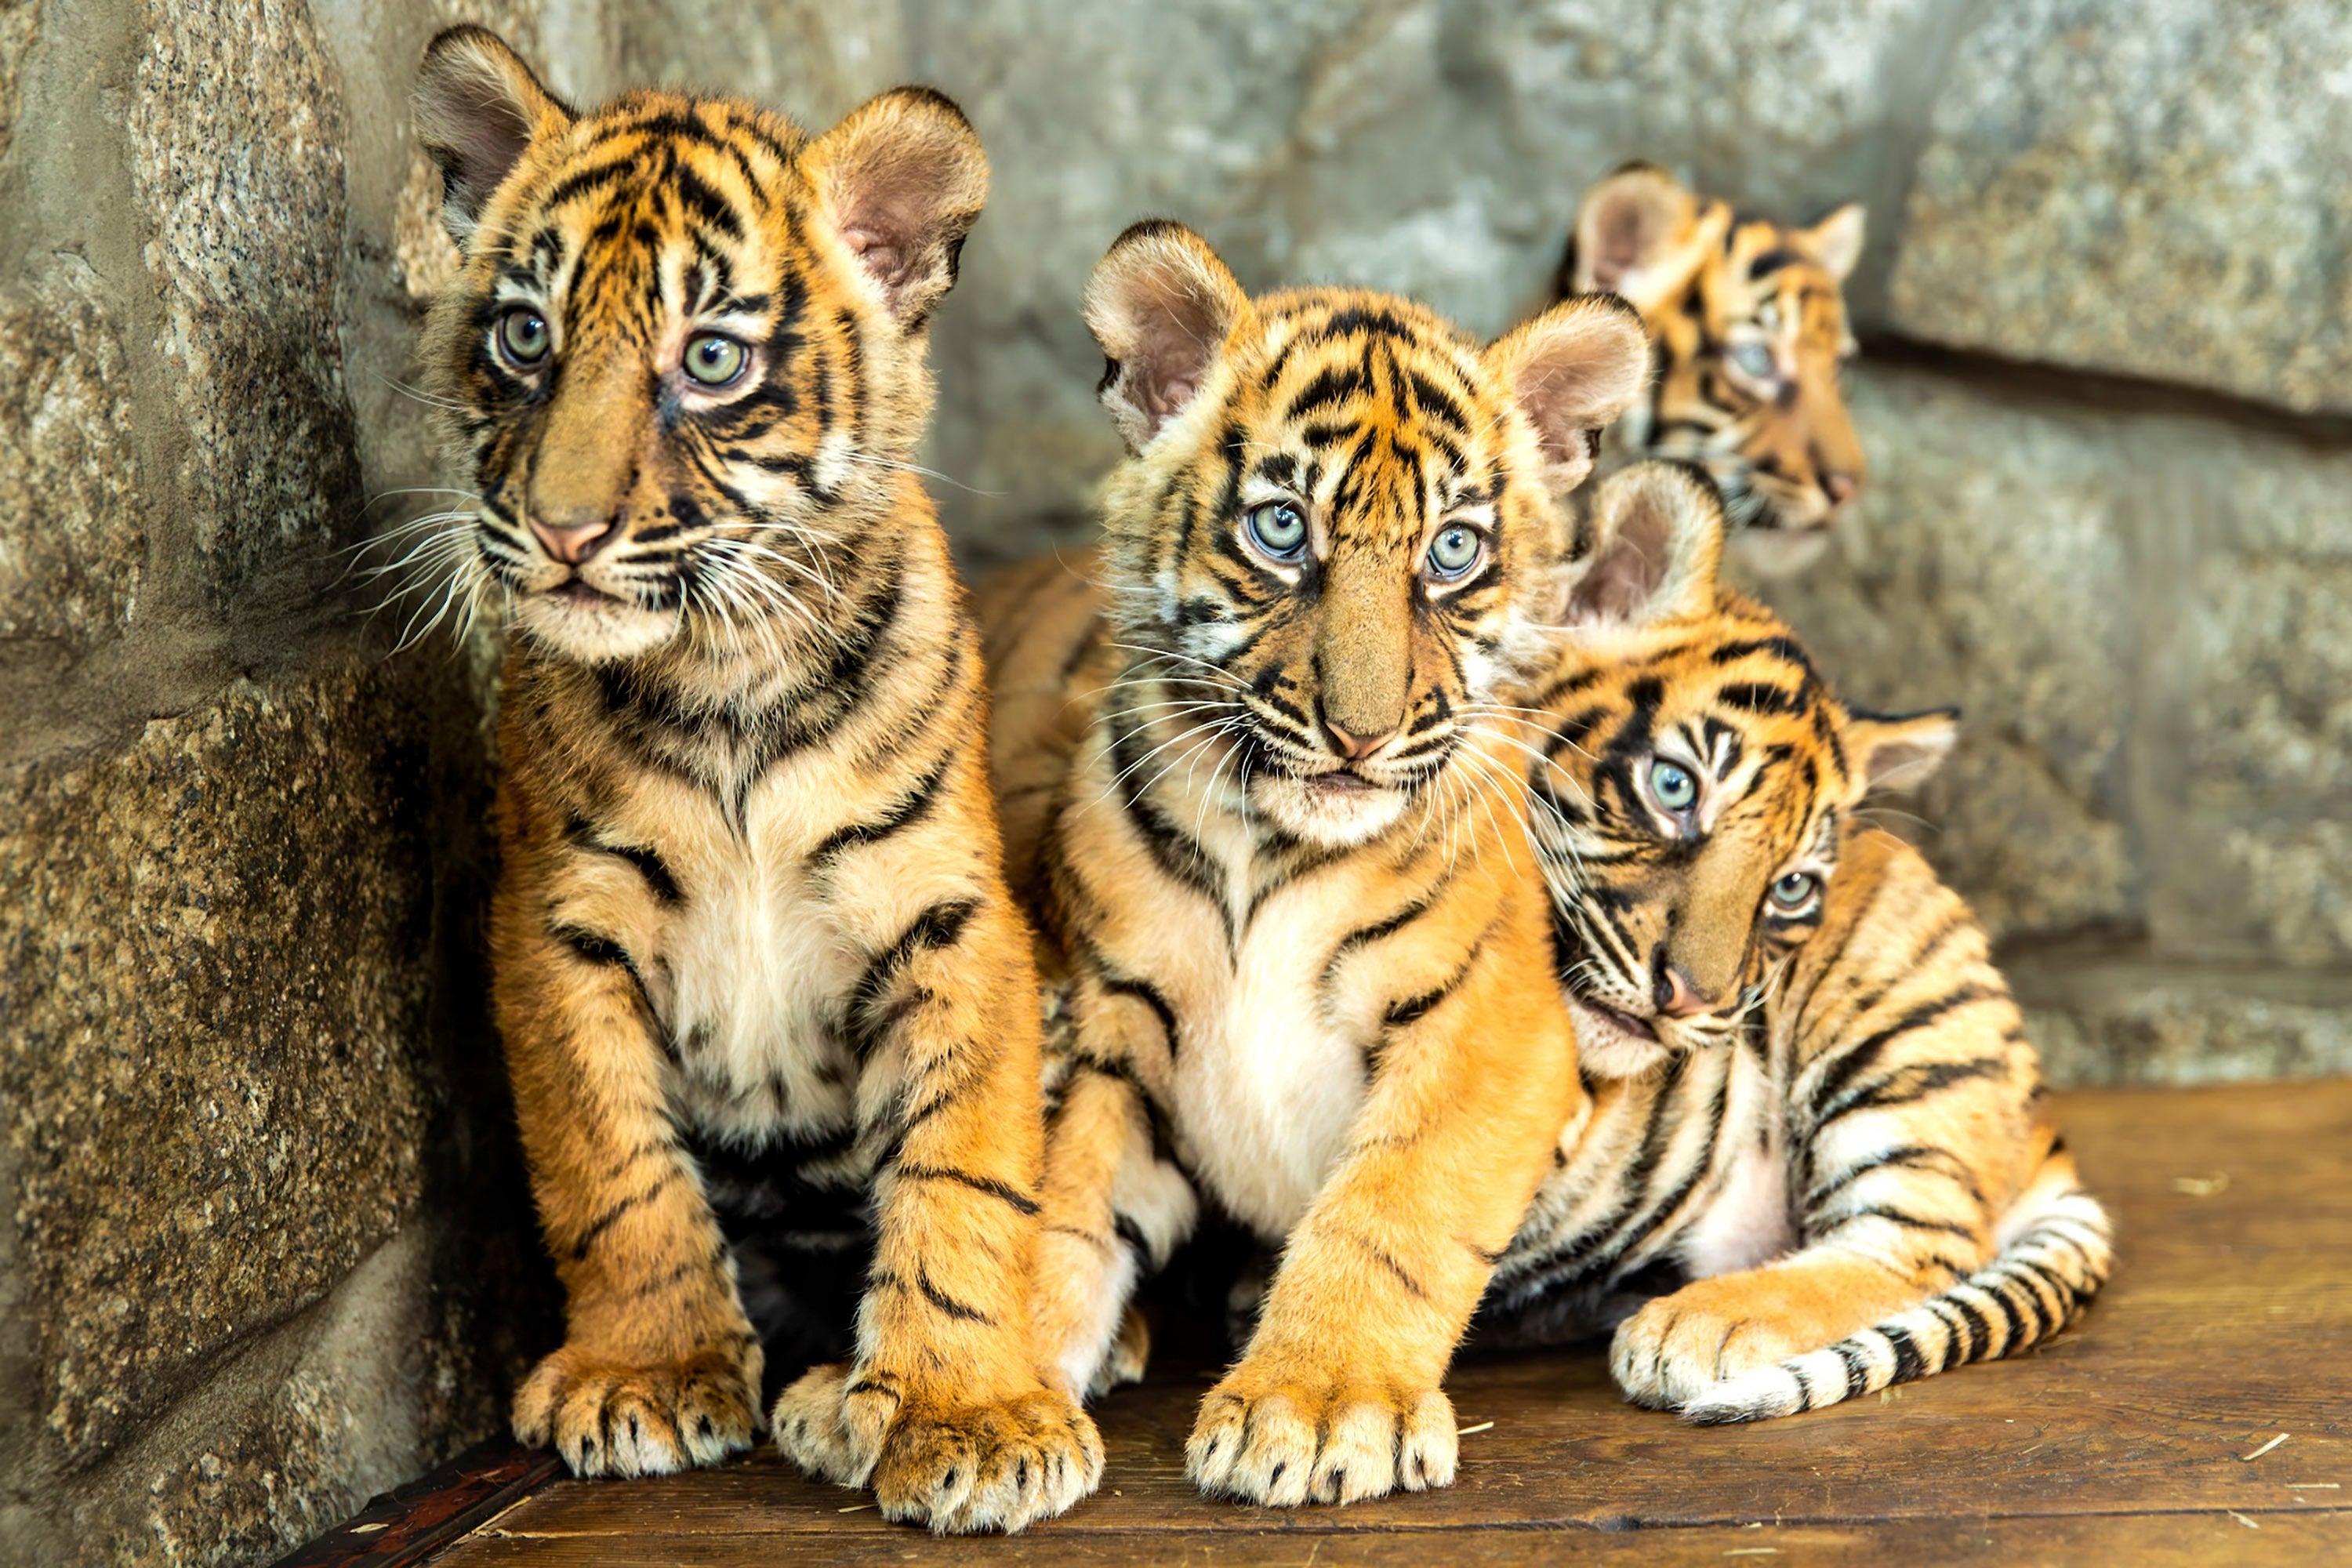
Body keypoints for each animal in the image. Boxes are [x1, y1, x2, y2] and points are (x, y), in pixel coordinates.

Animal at [411, 27, 1098, 1531]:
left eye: (712, 360)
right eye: (526, 337)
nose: (561, 532)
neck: (725, 674)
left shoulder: (951, 921)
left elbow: (961, 1175)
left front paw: (969, 1416)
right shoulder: (557, 928)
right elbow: (614, 1168)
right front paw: (651, 1372)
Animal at [981, 219, 1654, 1507]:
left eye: (1453, 552)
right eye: (1281, 529)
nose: (1361, 732)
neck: (1272, 849)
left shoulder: (1491, 1027)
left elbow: (1390, 1209)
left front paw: (1318, 1404)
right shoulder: (1107, 1019)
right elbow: (1048, 1211)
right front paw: (969, 1401)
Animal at [1473, 459, 2114, 1422]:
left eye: (1790, 888)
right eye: (1674, 786)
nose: (1688, 1000)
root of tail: (2043, 1129)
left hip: (1896, 1044)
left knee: (1915, 1248)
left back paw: (1698, 1326)